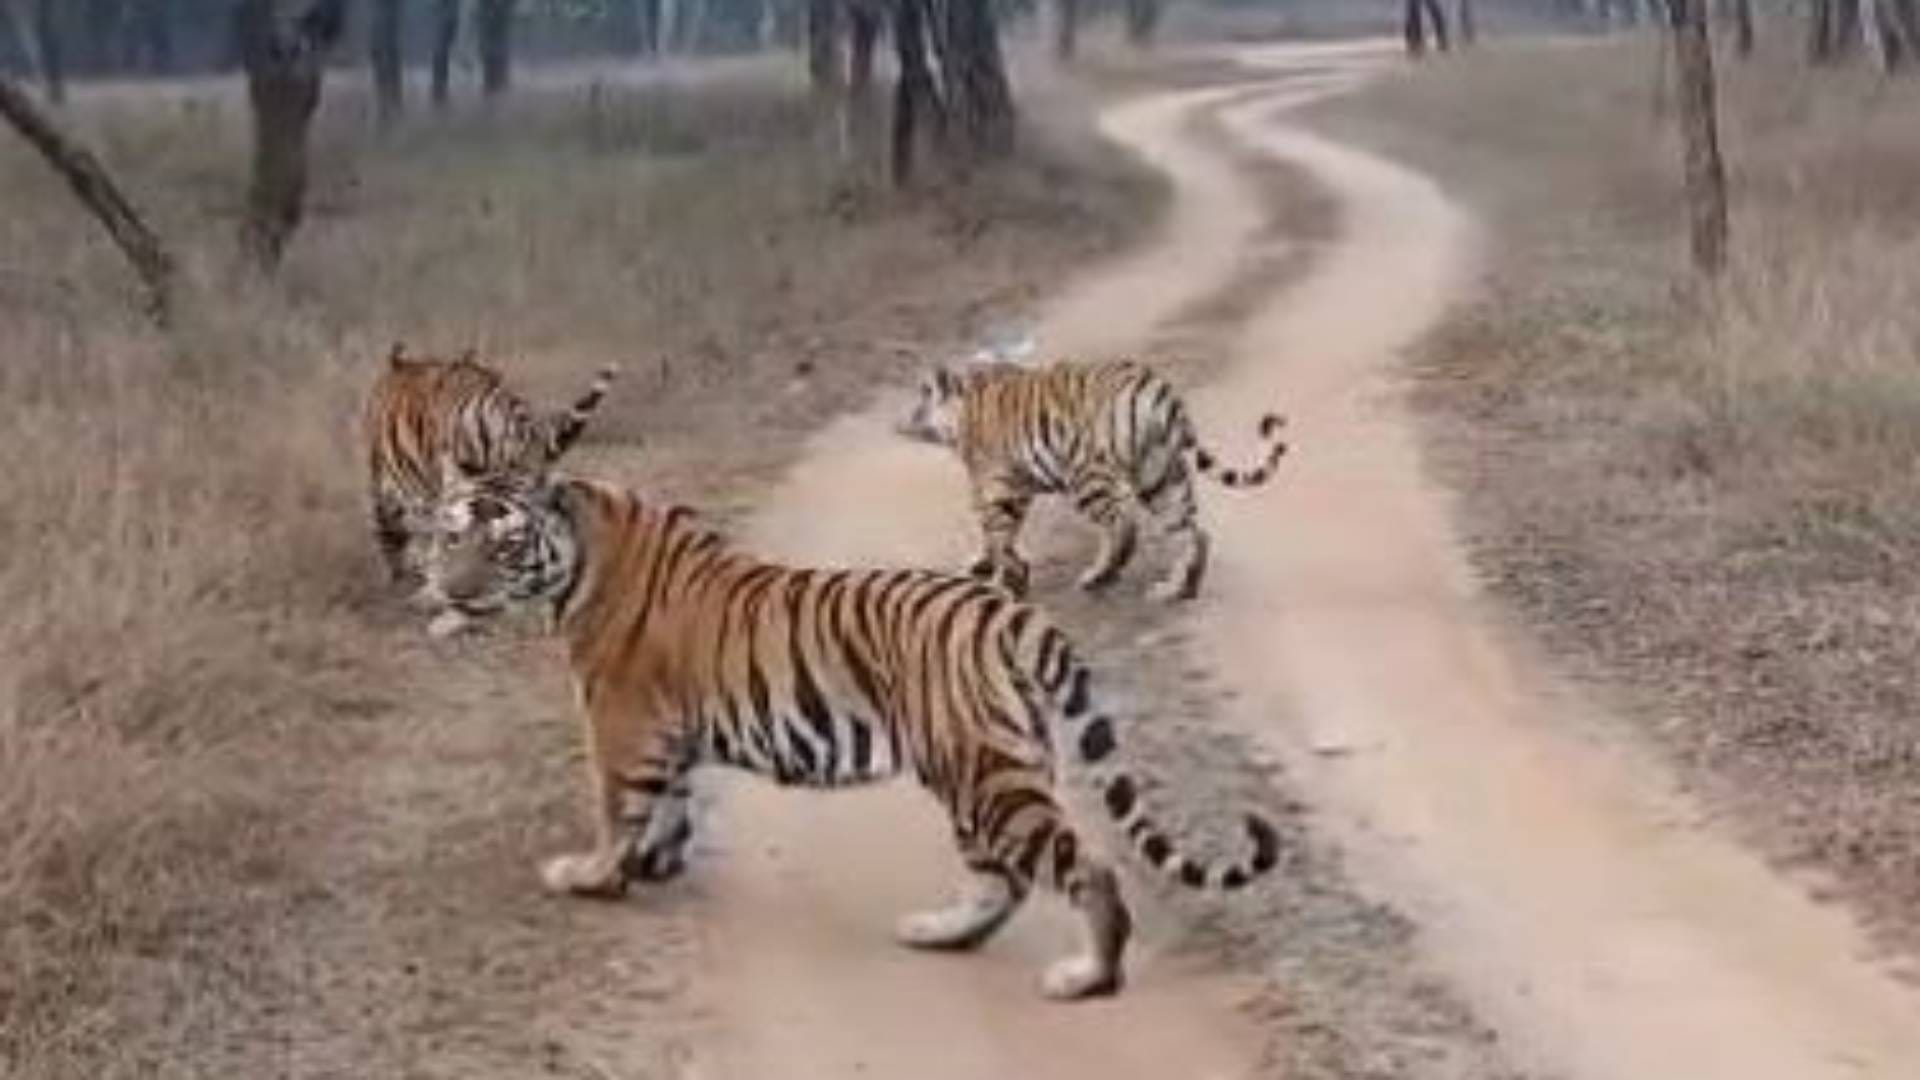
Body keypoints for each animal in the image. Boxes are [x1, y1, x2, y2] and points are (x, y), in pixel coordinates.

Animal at [424, 471, 1282, 1000]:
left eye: (500, 543)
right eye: (447, 537)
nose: (450, 588)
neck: (579, 552)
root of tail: (1008, 610)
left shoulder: (621, 720)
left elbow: (615, 806)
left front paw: (592, 874)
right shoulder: (671, 731)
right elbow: (670, 804)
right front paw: (653, 865)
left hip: (984, 772)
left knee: (1082, 868)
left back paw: (1085, 978)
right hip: (978, 768)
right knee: (998, 880)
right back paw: (939, 933)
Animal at [895, 357, 1289, 603]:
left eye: (920, 401)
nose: (902, 423)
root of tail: (1156, 387)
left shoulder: (992, 485)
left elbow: (995, 532)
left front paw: (999, 579)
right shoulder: (1015, 487)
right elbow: (1000, 534)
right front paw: (991, 566)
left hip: (1087, 476)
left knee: (1123, 525)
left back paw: (1100, 575)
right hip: (1160, 474)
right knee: (1194, 534)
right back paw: (1178, 589)